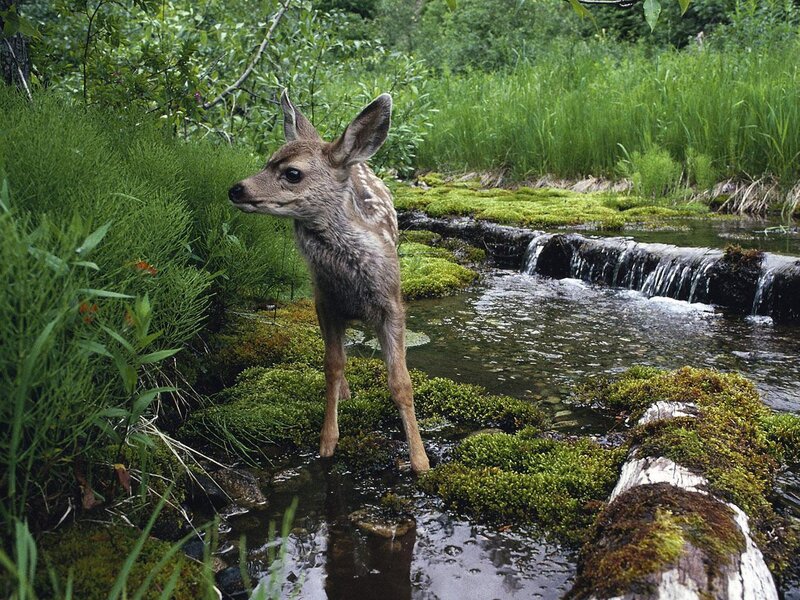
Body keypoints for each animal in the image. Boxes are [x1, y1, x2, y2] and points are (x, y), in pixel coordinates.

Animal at [228, 91, 431, 473]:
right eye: (267, 161)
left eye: (292, 173)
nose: (236, 188)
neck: (350, 280)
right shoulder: (325, 302)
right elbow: (332, 365)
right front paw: (327, 442)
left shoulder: (392, 304)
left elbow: (401, 382)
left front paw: (420, 459)